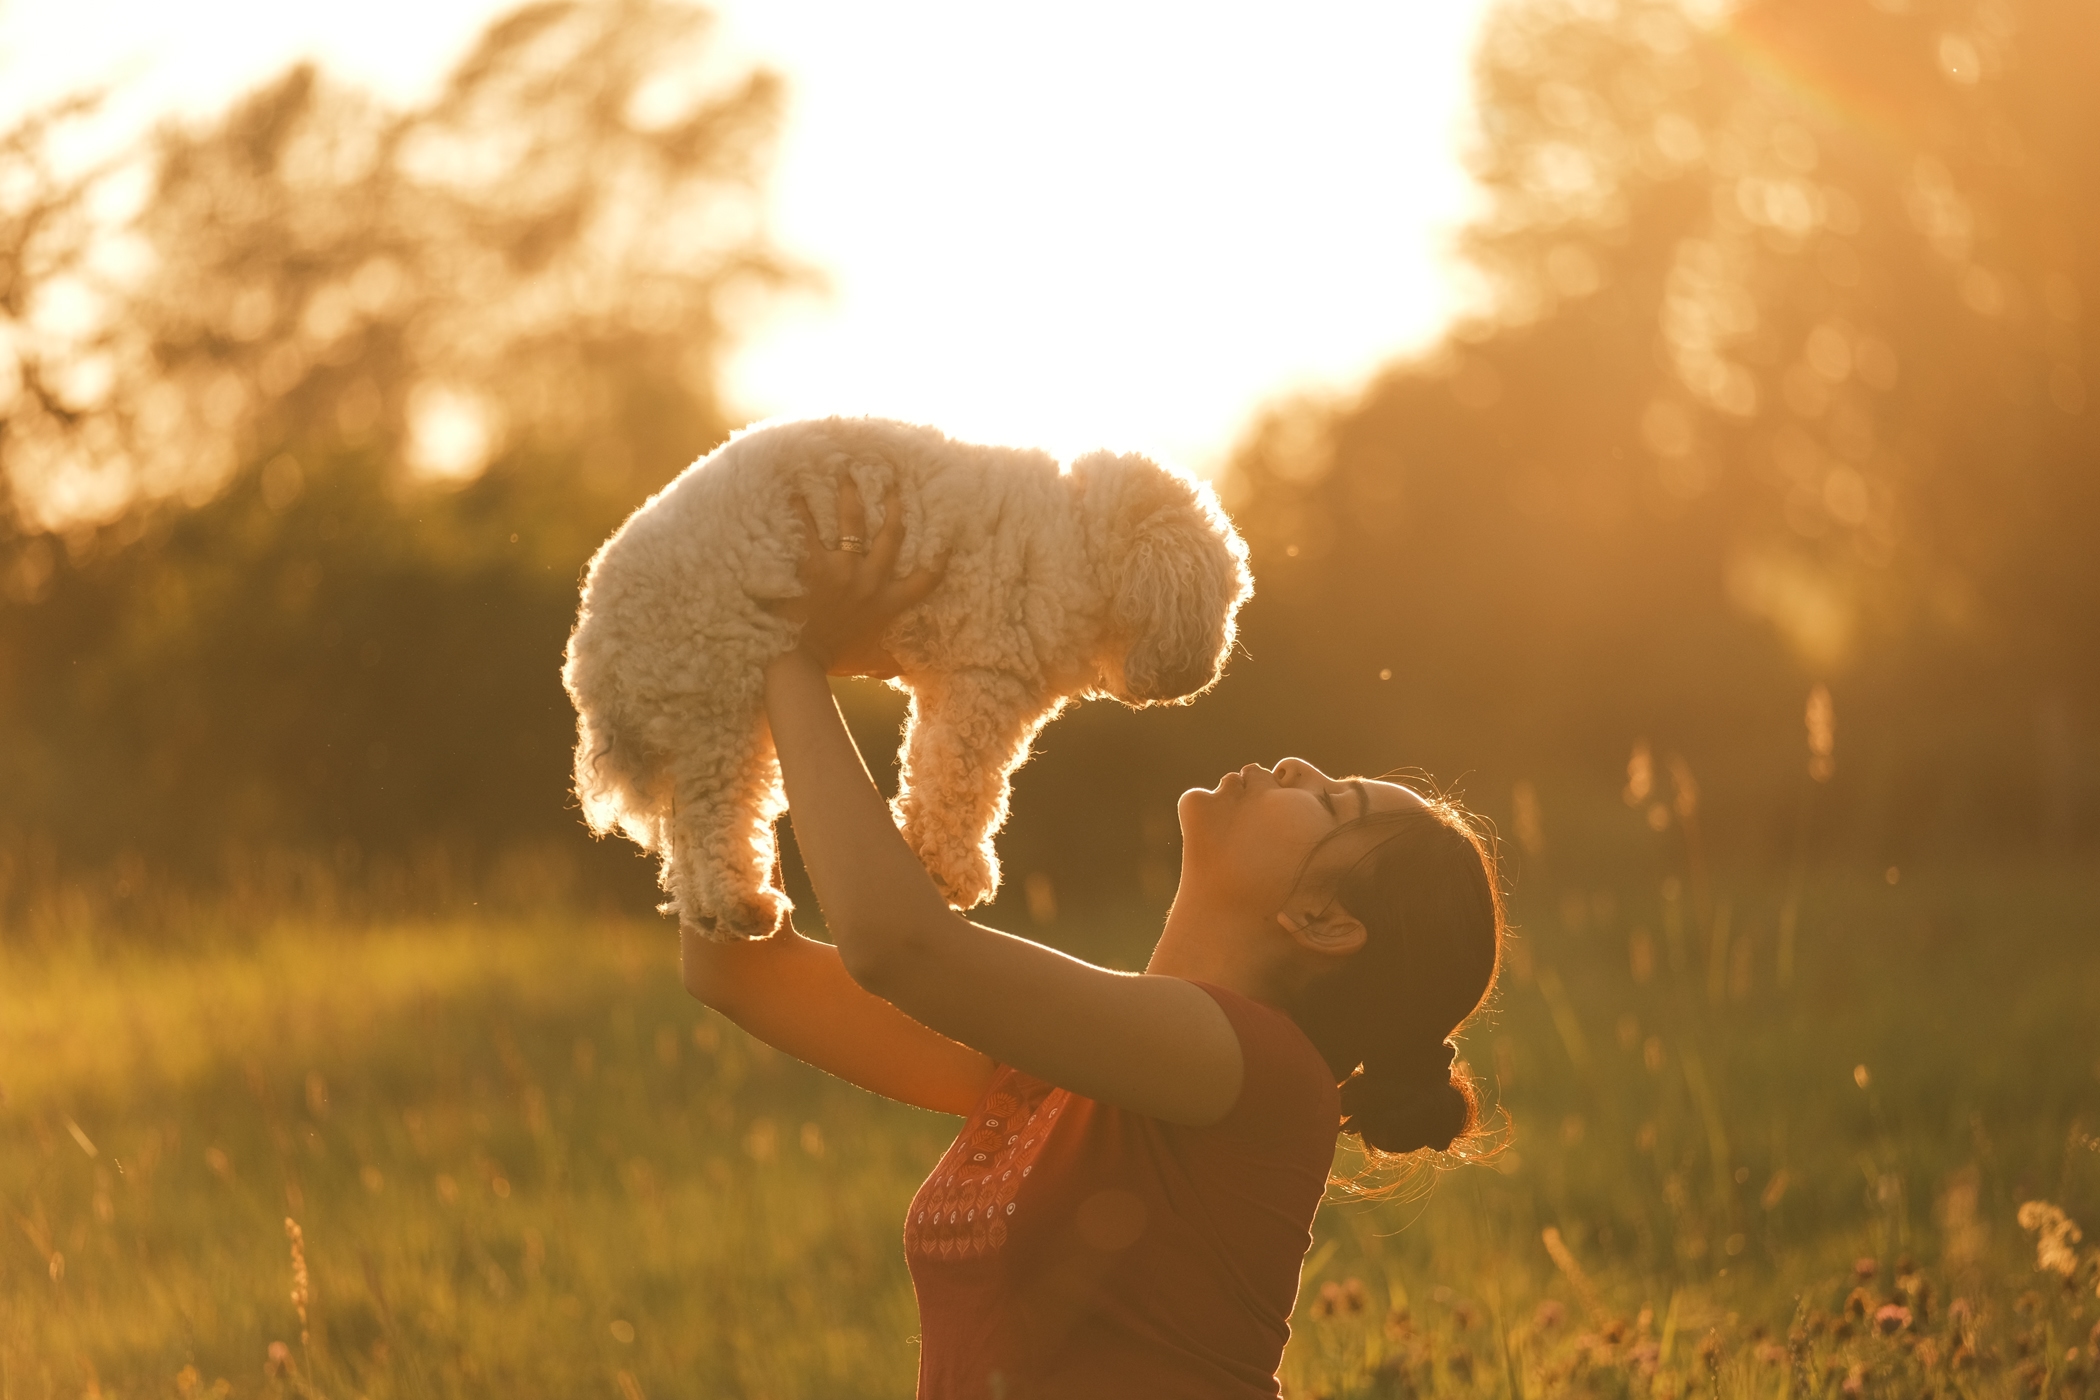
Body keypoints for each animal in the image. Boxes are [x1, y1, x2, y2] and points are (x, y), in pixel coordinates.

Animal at [558, 415, 1243, 940]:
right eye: (1228, 601)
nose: (1206, 674)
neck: (1077, 535)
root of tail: (595, 635)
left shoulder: (948, 687)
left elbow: (932, 768)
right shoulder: (982, 682)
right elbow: (962, 782)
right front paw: (953, 871)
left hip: (701, 717)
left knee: (691, 837)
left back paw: (711, 913)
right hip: (721, 698)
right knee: (717, 818)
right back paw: (742, 905)